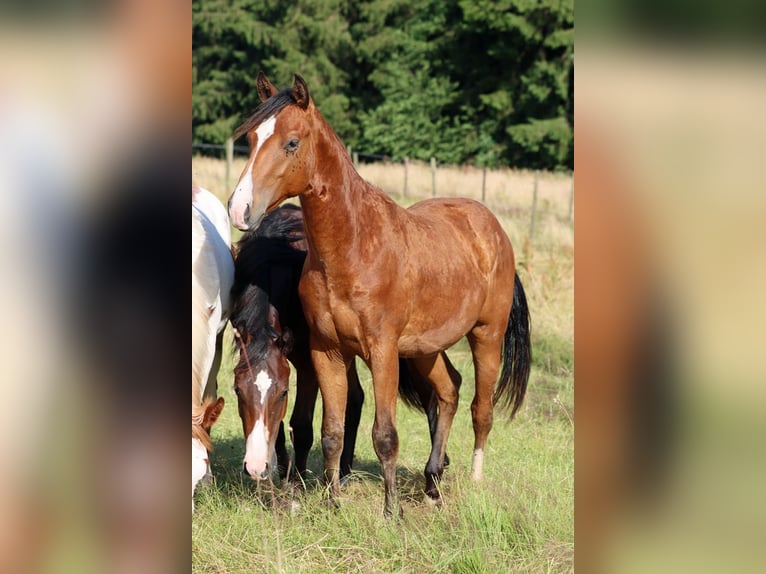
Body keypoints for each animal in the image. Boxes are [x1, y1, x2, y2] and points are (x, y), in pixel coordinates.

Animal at [230, 203, 461, 483]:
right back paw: (343, 469)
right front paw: (281, 468)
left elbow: (302, 425)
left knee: (429, 392)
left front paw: (297, 481)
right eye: (237, 390)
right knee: (357, 397)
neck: (275, 263)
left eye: (284, 392)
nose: (254, 466)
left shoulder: (309, 362)